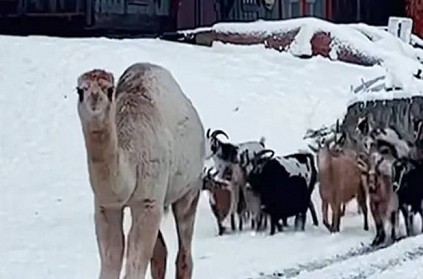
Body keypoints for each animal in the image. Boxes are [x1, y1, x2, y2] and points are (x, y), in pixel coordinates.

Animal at [77, 63, 208, 279]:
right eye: (80, 90)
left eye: (109, 89)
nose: (94, 99)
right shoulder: (106, 206)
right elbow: (112, 258)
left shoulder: (148, 201)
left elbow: (135, 263)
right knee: (160, 252)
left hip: (189, 189)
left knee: (184, 252)